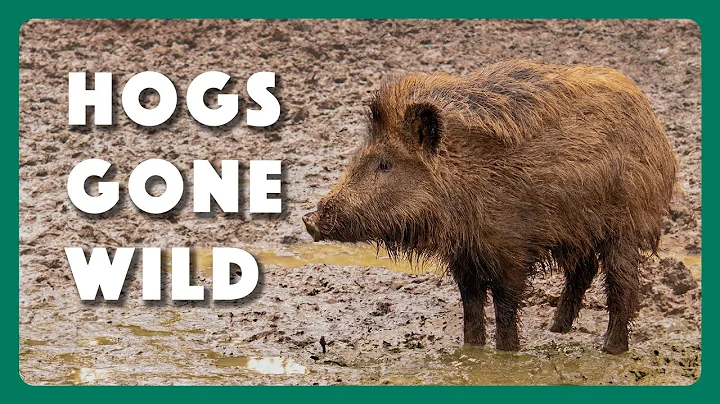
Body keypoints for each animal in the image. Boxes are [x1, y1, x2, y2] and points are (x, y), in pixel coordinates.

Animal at [303, 60, 677, 354]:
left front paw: (506, 354)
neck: (463, 178)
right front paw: (472, 349)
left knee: (622, 283)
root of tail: (654, 126)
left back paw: (611, 349)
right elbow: (470, 302)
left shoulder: (510, 248)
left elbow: (506, 304)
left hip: (626, 224)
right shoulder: (464, 255)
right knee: (583, 270)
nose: (310, 219)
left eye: (385, 163)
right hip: (578, 230)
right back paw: (556, 330)